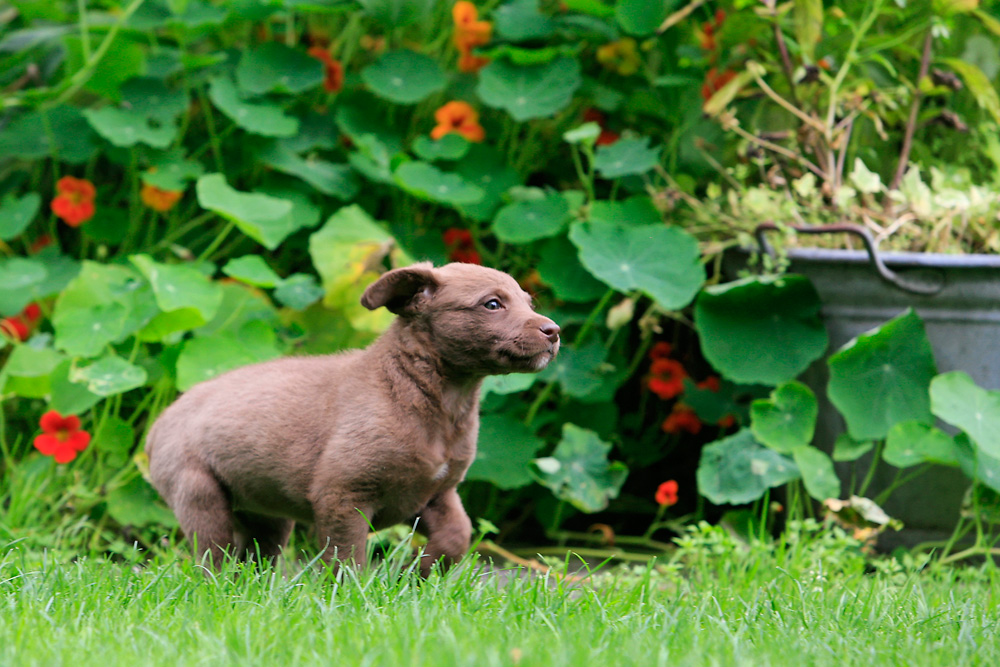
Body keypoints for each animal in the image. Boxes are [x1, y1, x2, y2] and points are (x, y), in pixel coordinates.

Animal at [145, 260, 560, 576]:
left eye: (527, 302)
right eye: (492, 304)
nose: (554, 331)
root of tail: (159, 422)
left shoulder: (437, 492)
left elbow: (458, 535)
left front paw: (419, 573)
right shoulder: (343, 495)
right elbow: (347, 559)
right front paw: (353, 596)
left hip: (263, 508)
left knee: (255, 556)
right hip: (198, 491)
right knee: (213, 557)